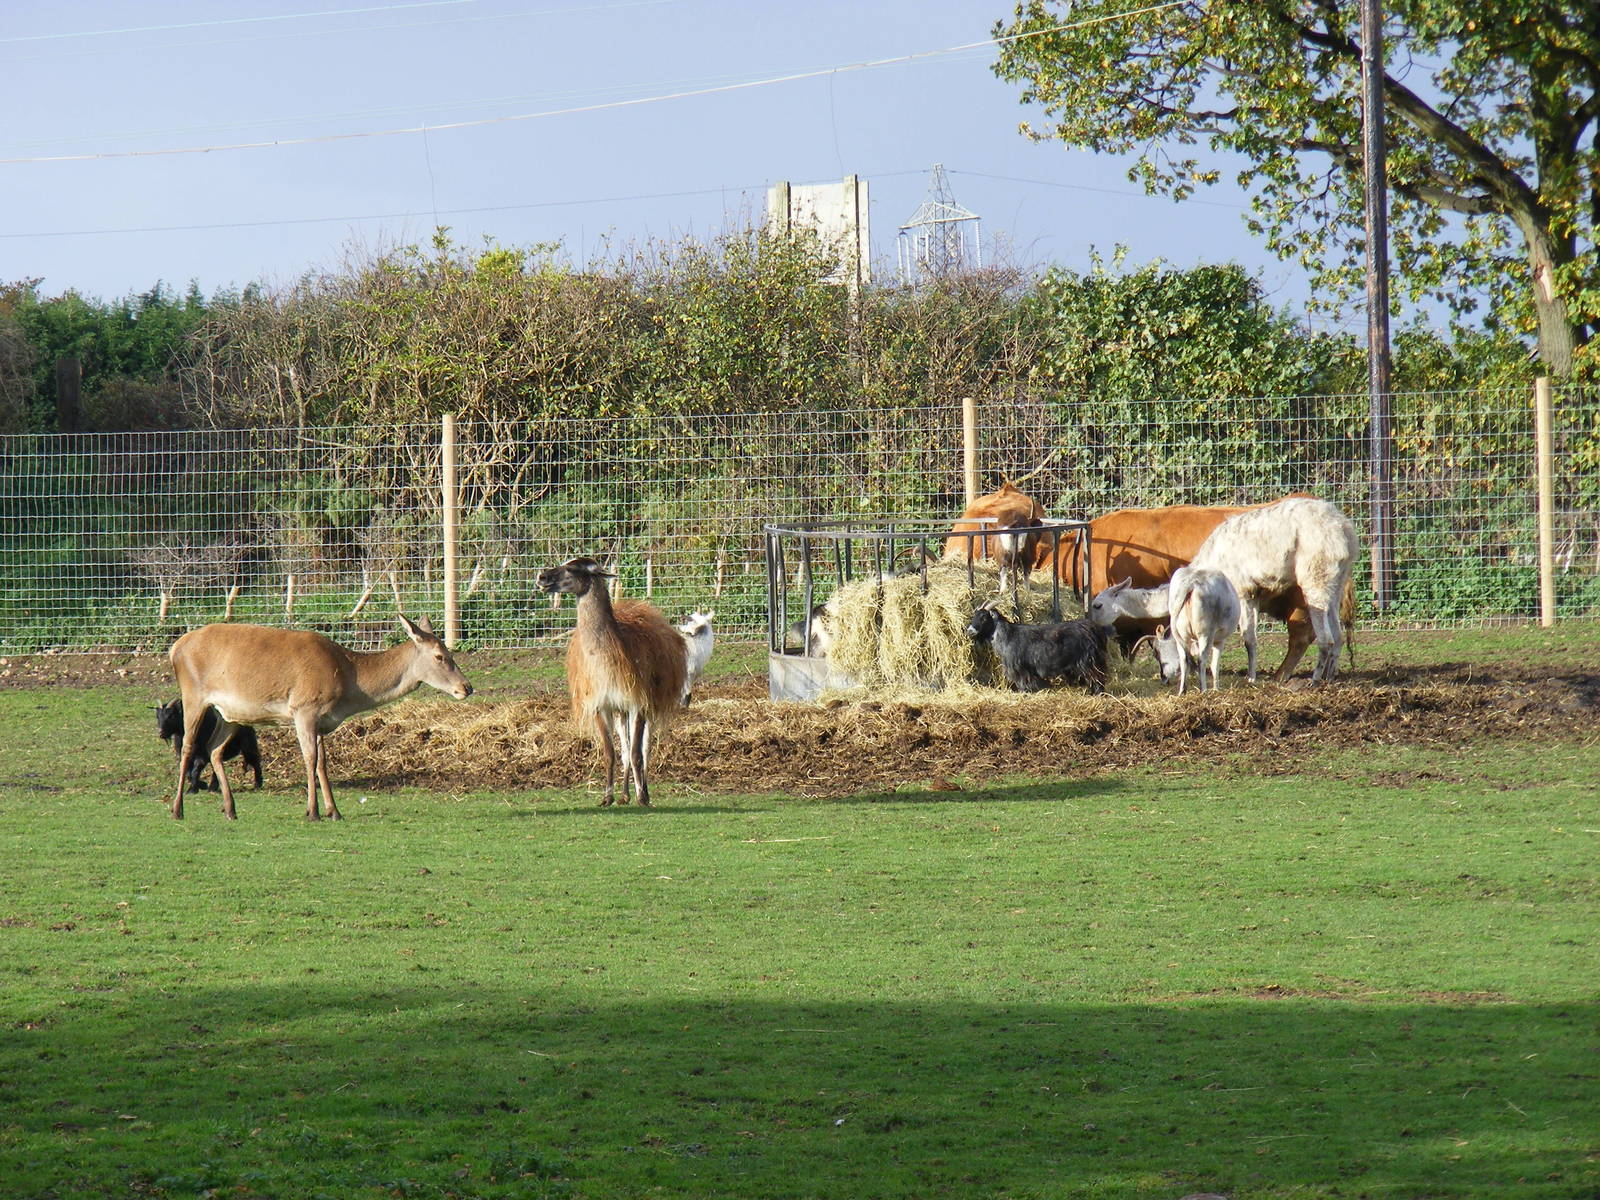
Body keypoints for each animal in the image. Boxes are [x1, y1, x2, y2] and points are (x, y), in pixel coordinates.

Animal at [166, 614, 472, 821]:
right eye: (440, 656)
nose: (466, 687)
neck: (348, 681)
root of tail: (174, 648)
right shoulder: (304, 708)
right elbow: (310, 759)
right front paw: (312, 811)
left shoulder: (322, 720)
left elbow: (323, 763)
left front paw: (334, 810)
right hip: (193, 695)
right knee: (188, 746)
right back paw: (177, 809)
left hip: (230, 714)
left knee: (214, 749)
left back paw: (230, 809)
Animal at [538, 557, 687, 807]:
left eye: (572, 568)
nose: (542, 577)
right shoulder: (600, 703)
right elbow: (610, 753)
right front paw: (607, 797)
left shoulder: (638, 701)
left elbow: (637, 753)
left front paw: (643, 798)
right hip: (620, 710)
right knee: (625, 749)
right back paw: (625, 794)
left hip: (648, 701)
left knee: (643, 749)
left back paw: (641, 792)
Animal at [964, 603, 1109, 694]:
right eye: (974, 616)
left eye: (984, 618)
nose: (970, 631)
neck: (1007, 636)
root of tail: (1094, 629)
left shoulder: (1020, 670)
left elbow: (1024, 684)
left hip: (1089, 663)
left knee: (1098, 678)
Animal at [1189, 497, 1360, 684]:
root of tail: (1343, 527)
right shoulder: (1254, 594)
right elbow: (1251, 639)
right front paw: (1252, 677)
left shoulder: (1243, 591)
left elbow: (1247, 639)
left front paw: (1250, 679)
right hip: (1337, 583)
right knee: (1338, 638)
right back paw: (1329, 679)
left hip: (1315, 577)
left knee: (1326, 640)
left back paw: (1314, 681)